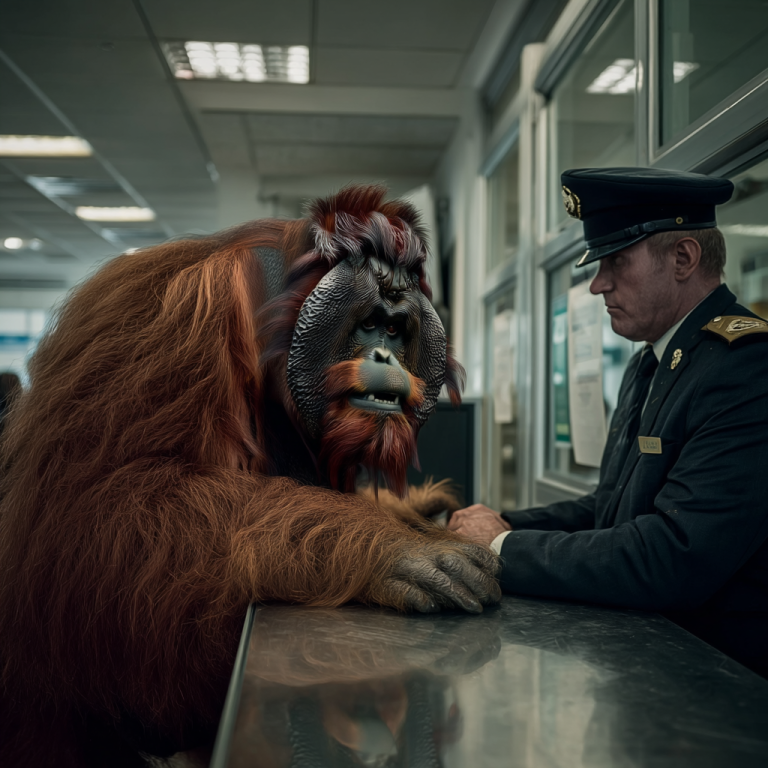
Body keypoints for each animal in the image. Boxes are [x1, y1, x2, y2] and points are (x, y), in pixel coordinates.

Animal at [0, 184, 500, 767]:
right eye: (370, 323)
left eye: (397, 330)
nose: (385, 354)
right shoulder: (175, 317)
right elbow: (107, 507)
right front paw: (399, 548)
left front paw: (423, 510)